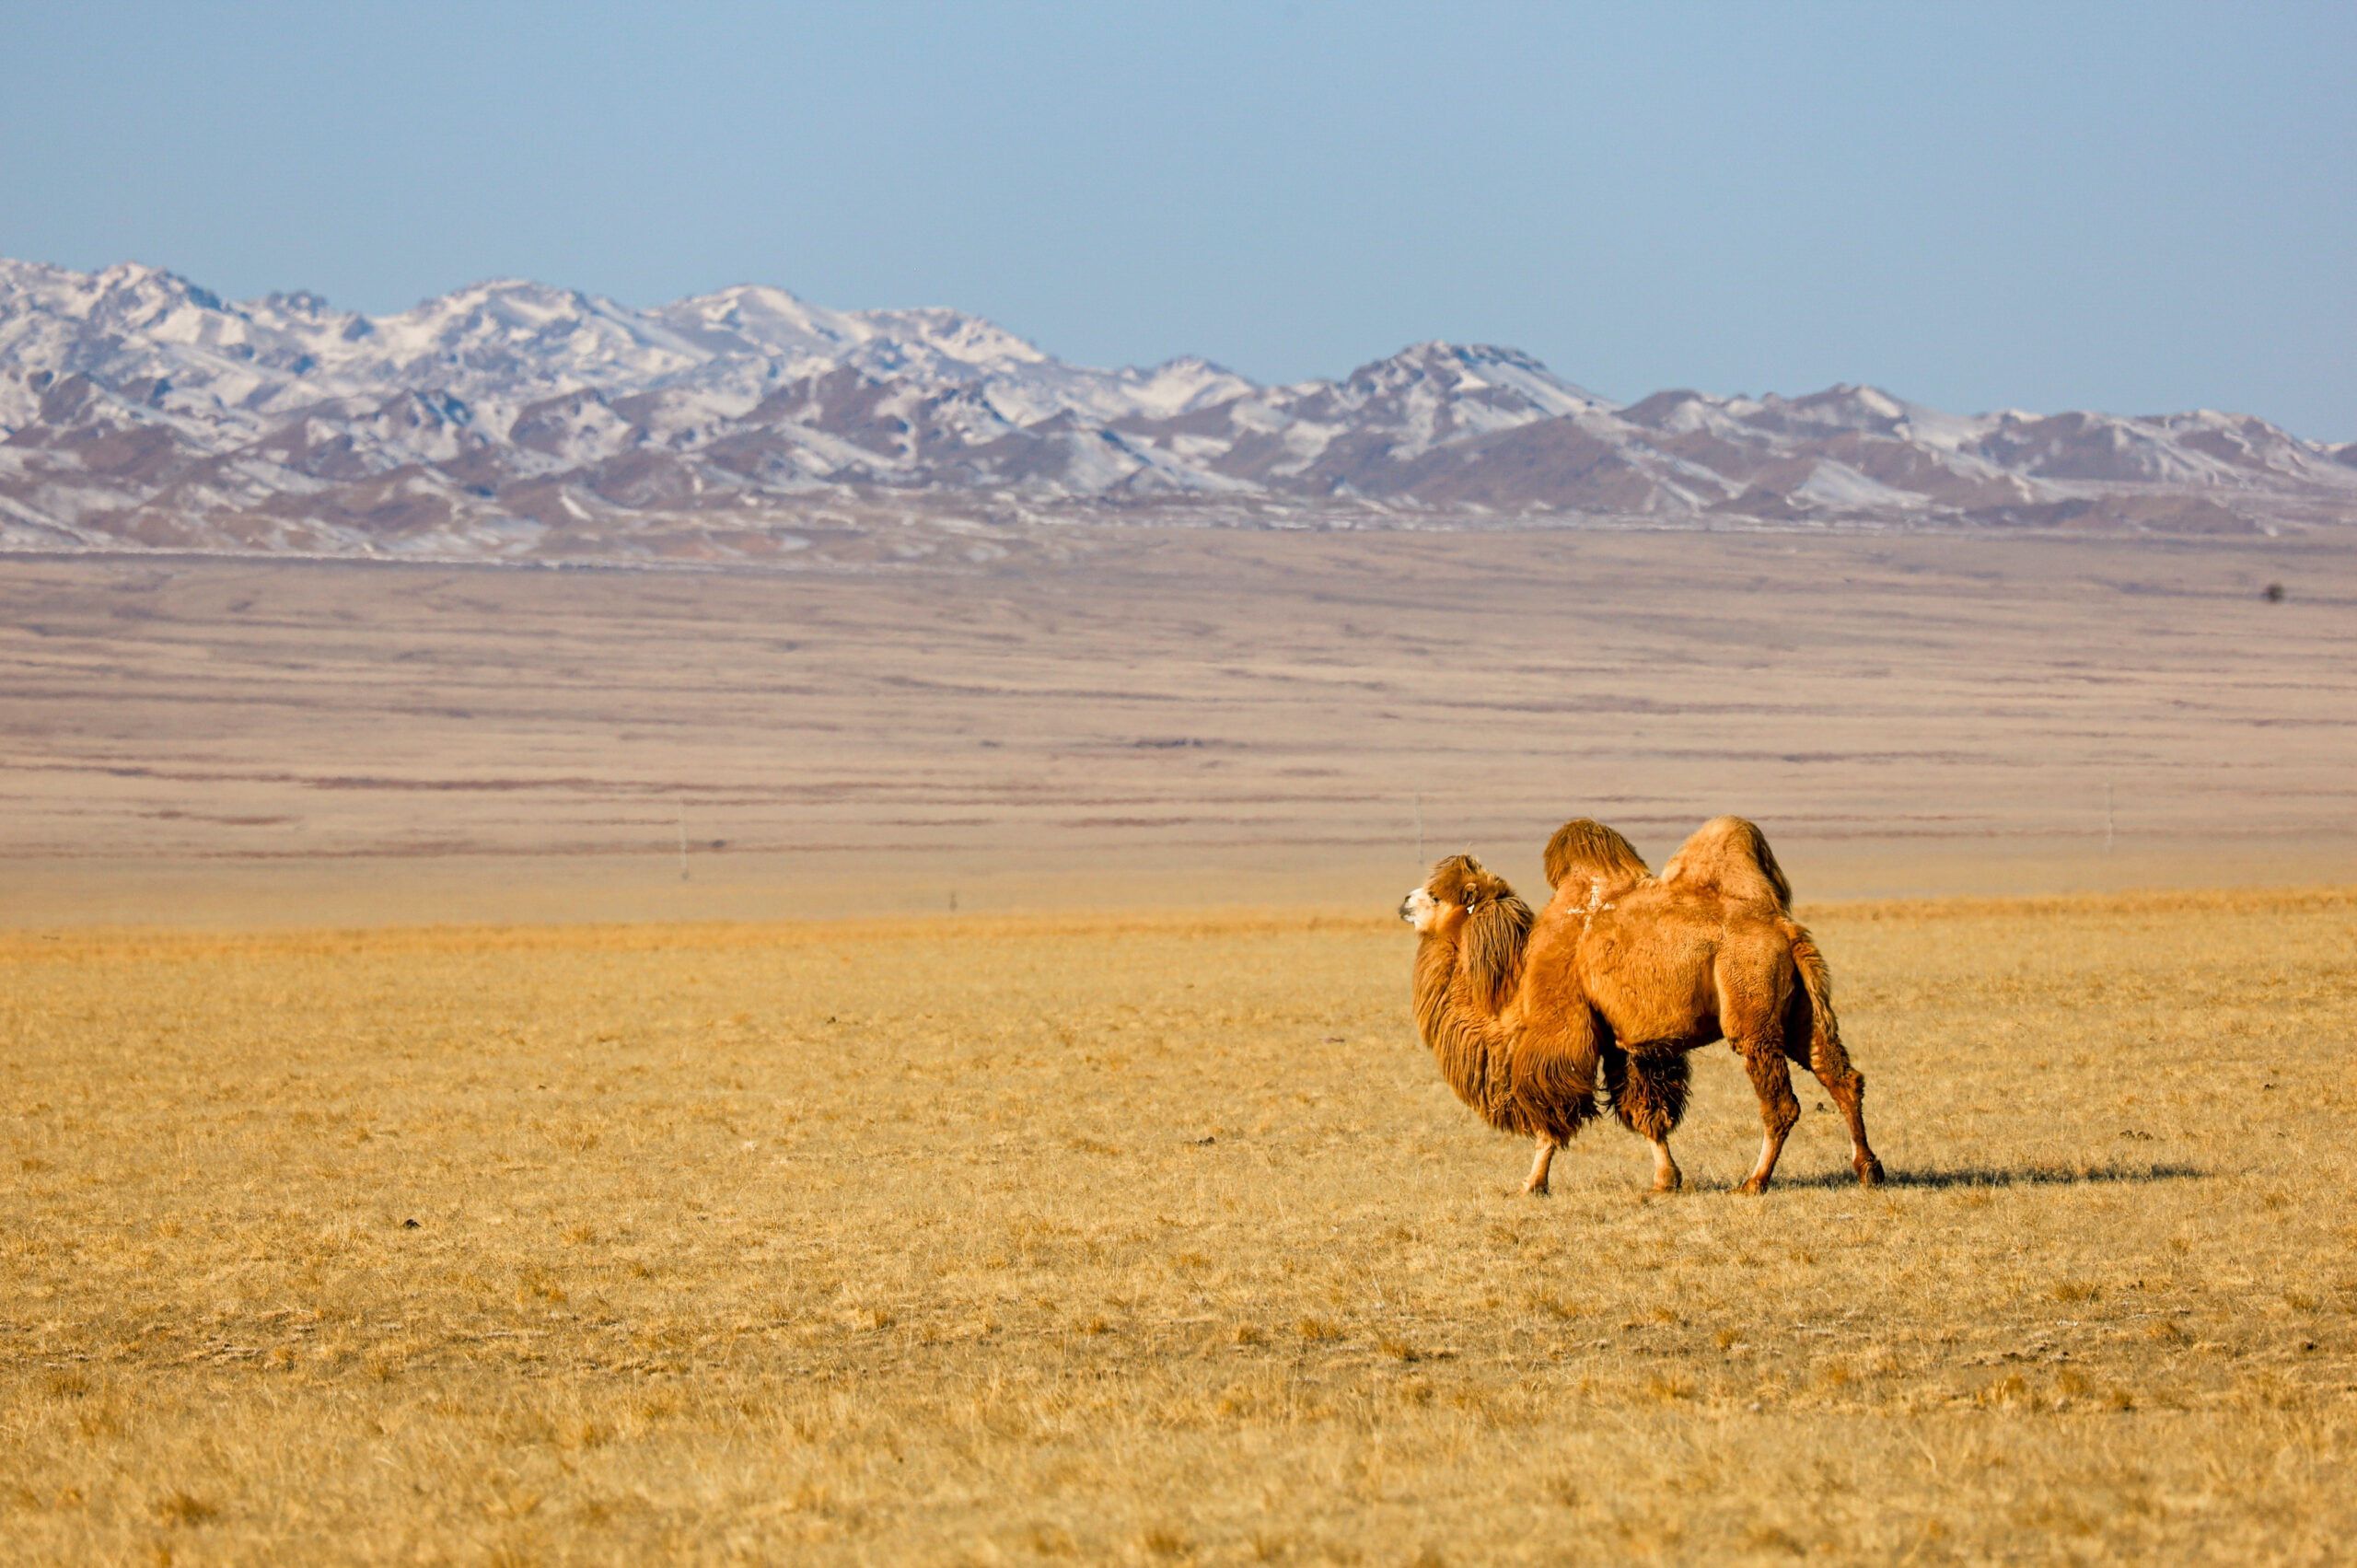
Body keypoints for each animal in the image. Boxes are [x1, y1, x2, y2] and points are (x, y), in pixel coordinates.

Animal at [1400, 816, 1883, 1196]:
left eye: (1437, 896)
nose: (1405, 902)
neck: (1512, 987)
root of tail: (1784, 929)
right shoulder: (1627, 1043)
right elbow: (1647, 1110)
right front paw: (1666, 1180)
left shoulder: (1560, 1029)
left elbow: (1549, 1111)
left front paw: (1532, 1184)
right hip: (1801, 1012)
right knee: (1840, 1075)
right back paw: (1869, 1169)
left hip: (1751, 1005)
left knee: (1782, 1103)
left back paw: (1754, 1182)